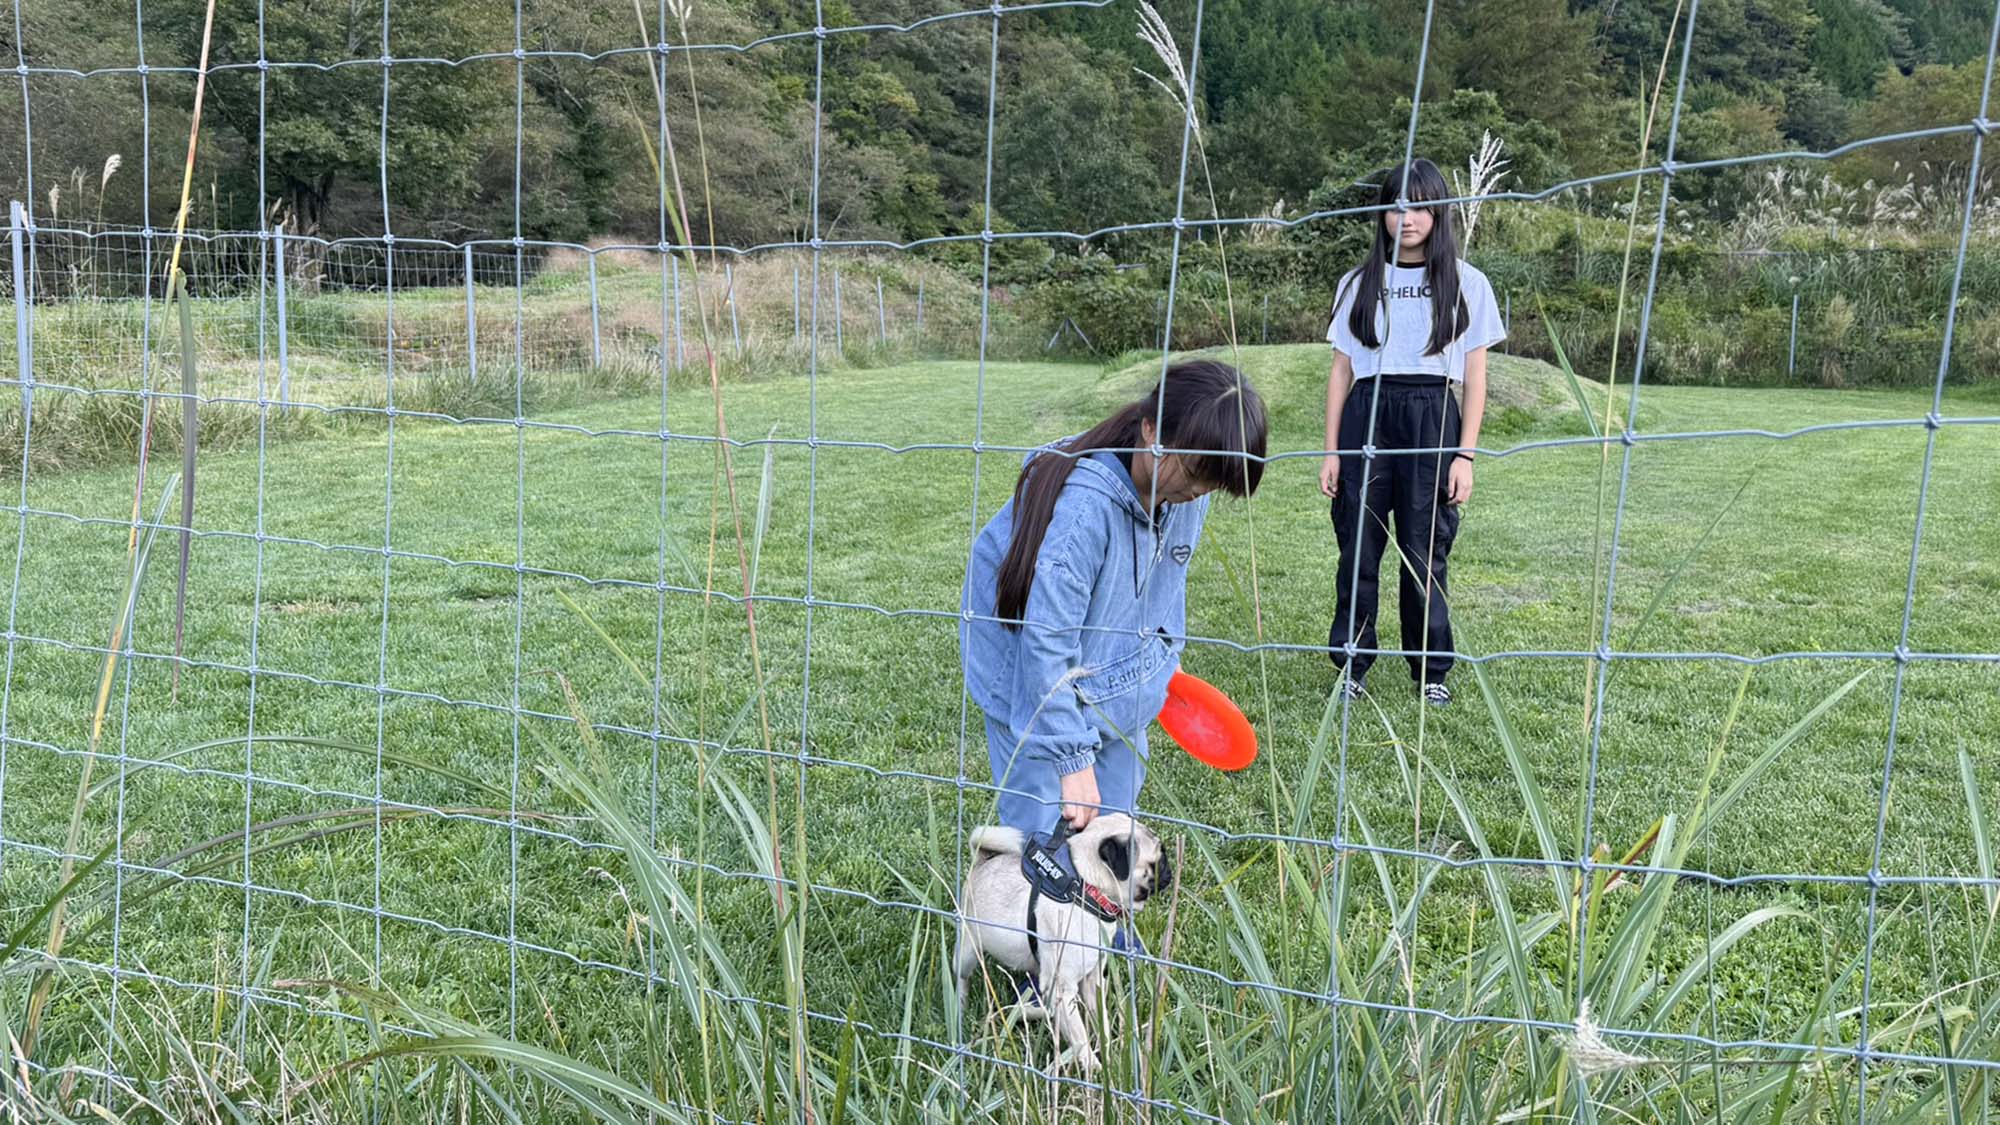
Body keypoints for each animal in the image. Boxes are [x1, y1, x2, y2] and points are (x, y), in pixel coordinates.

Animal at [952, 808, 1168, 1064]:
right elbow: (1080, 1038)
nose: (1169, 870)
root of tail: (982, 861)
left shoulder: (1093, 980)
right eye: (1158, 860)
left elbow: (1100, 1021)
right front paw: (1093, 1067)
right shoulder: (1062, 991)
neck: (1086, 890)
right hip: (967, 950)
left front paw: (1109, 1058)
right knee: (961, 977)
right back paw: (959, 1006)